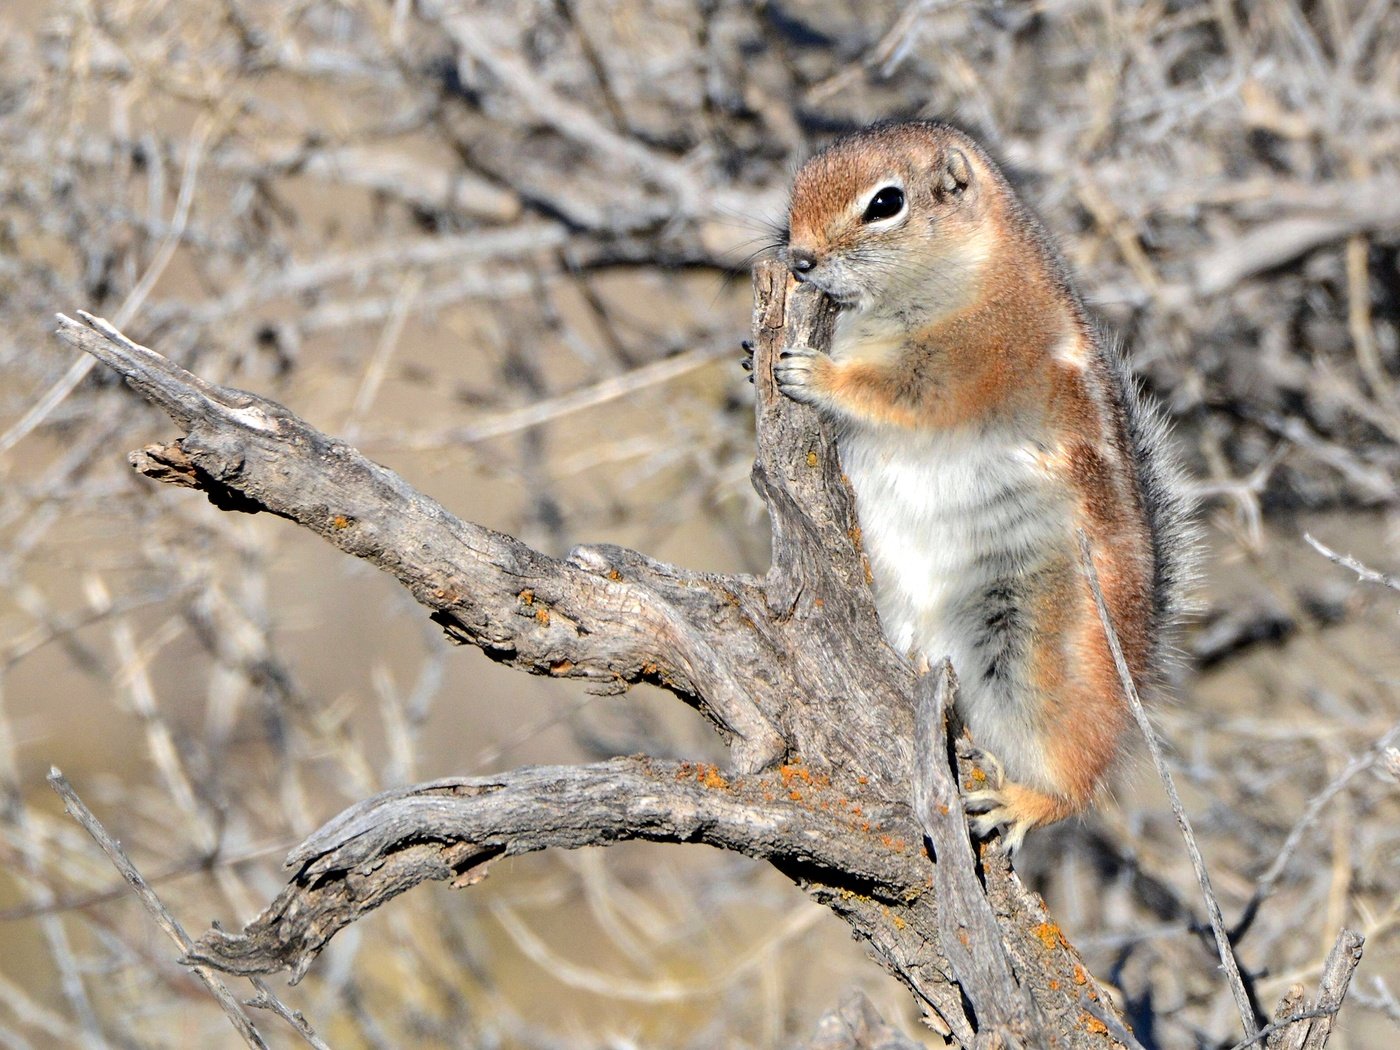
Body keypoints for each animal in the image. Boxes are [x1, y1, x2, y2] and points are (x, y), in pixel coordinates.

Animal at [756, 119, 1192, 851]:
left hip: (1037, 655)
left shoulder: (971, 363)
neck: (971, 270)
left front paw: (818, 375)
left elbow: (897, 394)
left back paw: (1024, 801)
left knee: (1079, 777)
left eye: (885, 203)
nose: (801, 260)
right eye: (802, 179)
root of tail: (1139, 663)